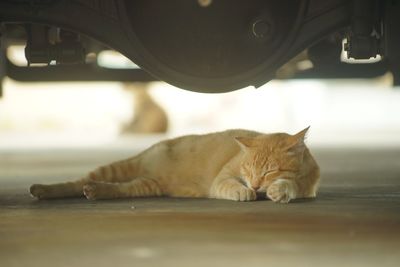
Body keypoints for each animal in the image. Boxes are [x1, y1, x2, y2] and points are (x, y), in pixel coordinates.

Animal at [30, 129, 318, 204]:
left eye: (269, 171)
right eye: (247, 170)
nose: (255, 184)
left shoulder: (309, 186)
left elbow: (293, 185)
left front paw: (279, 189)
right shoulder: (224, 177)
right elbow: (230, 185)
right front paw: (244, 191)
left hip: (146, 186)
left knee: (117, 188)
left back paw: (96, 191)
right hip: (118, 168)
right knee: (76, 182)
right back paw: (43, 189)